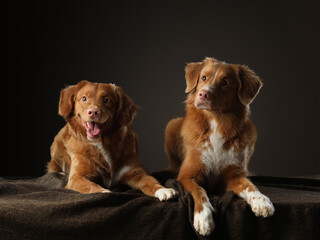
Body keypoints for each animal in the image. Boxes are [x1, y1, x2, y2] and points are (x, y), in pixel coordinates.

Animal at [48, 80, 176, 201]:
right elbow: (91, 186)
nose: (93, 112)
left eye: (106, 100)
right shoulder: (77, 177)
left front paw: (163, 190)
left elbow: (150, 181)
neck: (102, 142)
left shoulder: (136, 172)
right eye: (84, 98)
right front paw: (104, 192)